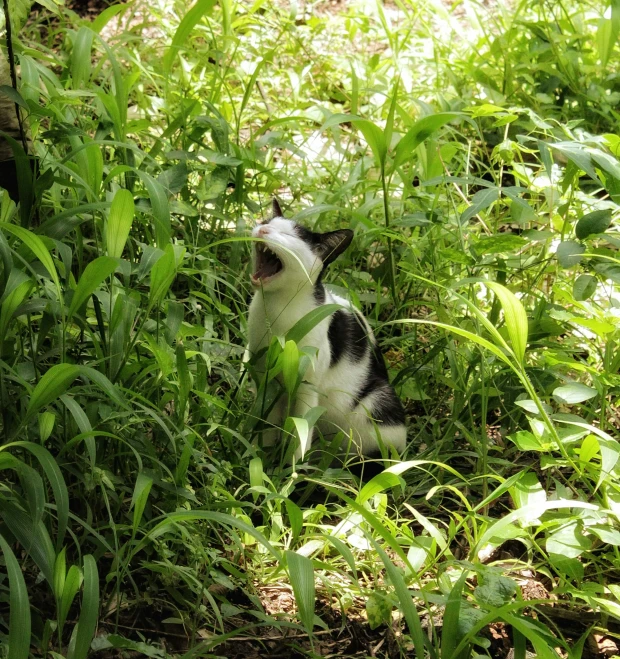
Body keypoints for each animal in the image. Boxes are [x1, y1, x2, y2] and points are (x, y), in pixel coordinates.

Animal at [247, 199, 406, 462]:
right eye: (266, 222)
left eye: (288, 235)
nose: (262, 229)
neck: (278, 309)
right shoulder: (266, 380)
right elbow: (266, 425)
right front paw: (259, 455)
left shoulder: (306, 387)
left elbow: (299, 434)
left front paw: (290, 470)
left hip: (378, 400)